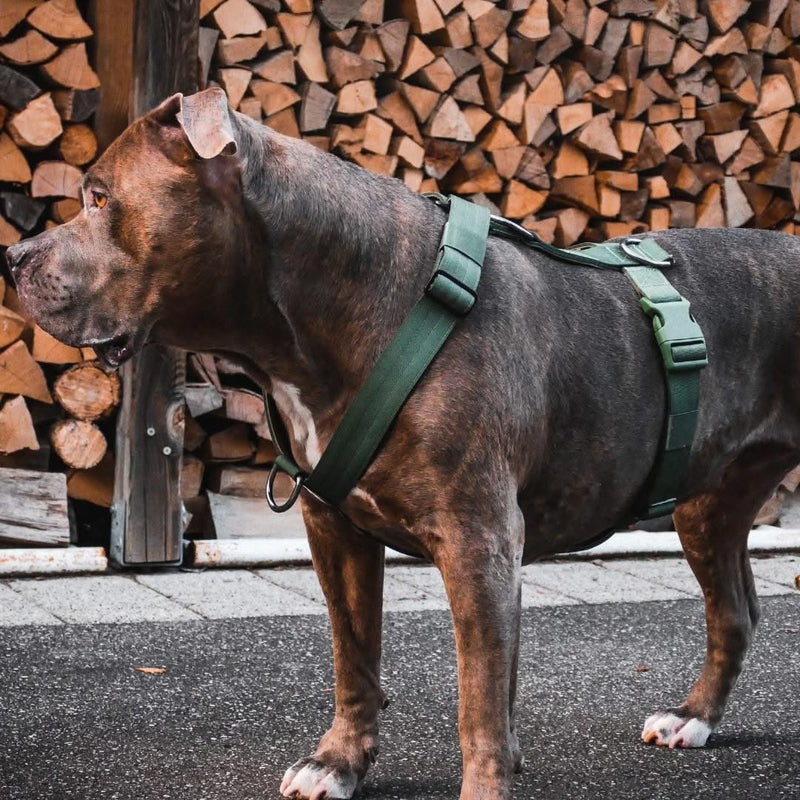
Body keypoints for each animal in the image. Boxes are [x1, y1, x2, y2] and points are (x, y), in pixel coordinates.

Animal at [6, 84, 800, 796]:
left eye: (99, 198)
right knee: (734, 611)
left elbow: (480, 704)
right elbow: (355, 660)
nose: (13, 257)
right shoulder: (337, 528)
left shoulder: (478, 541)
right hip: (709, 504)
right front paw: (337, 764)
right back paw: (693, 717)